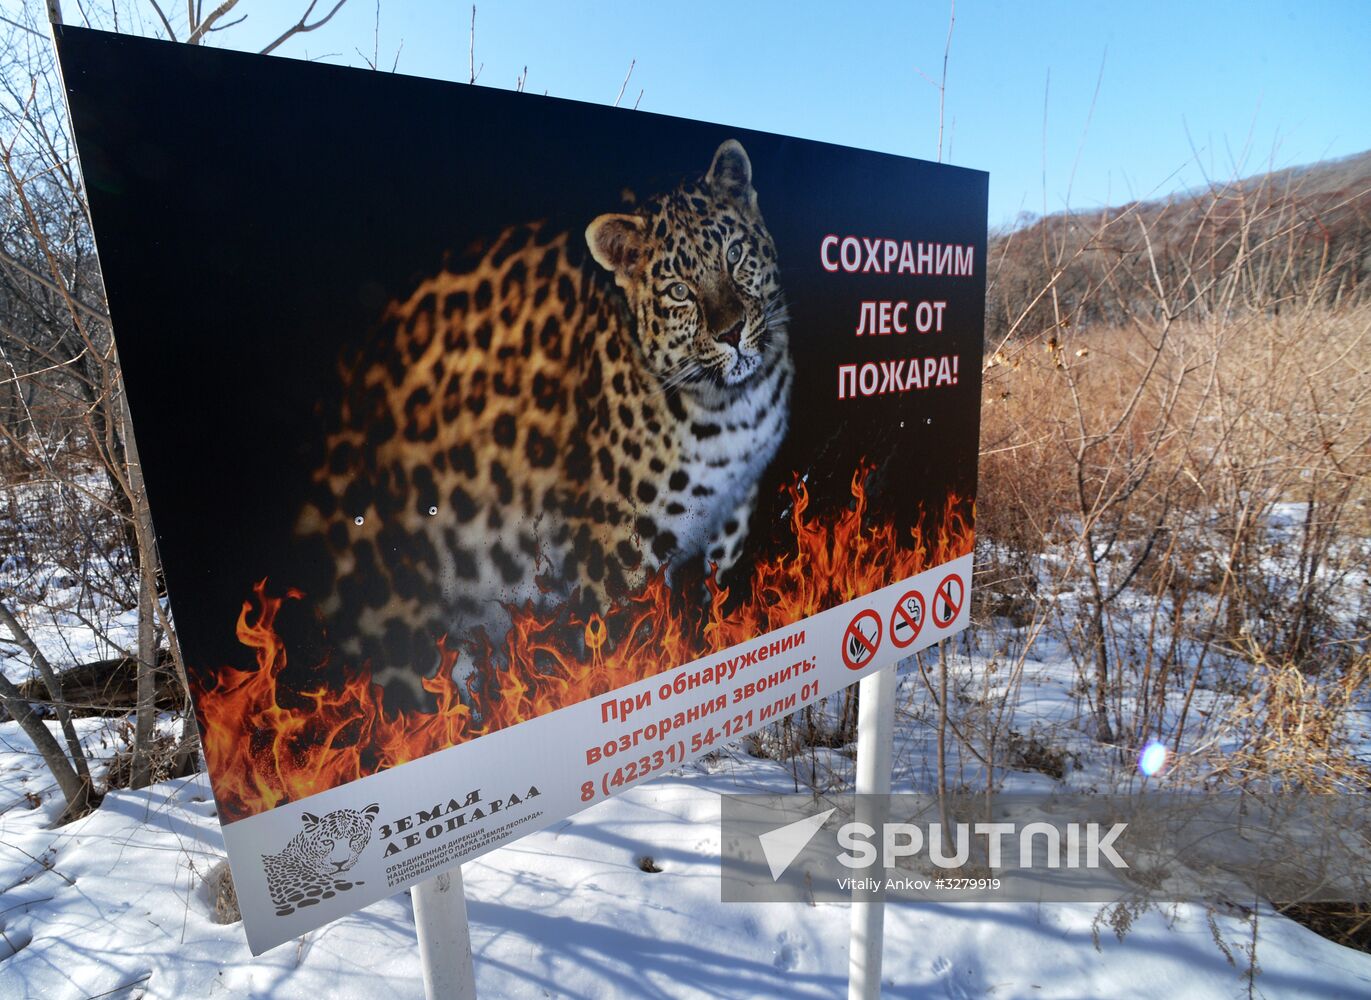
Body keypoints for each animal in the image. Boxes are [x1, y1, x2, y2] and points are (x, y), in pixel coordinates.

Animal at [294, 139, 793, 709]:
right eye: (678, 291)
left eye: (734, 255)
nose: (732, 331)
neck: (734, 408)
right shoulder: (620, 561)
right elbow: (631, 650)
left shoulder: (731, 519)